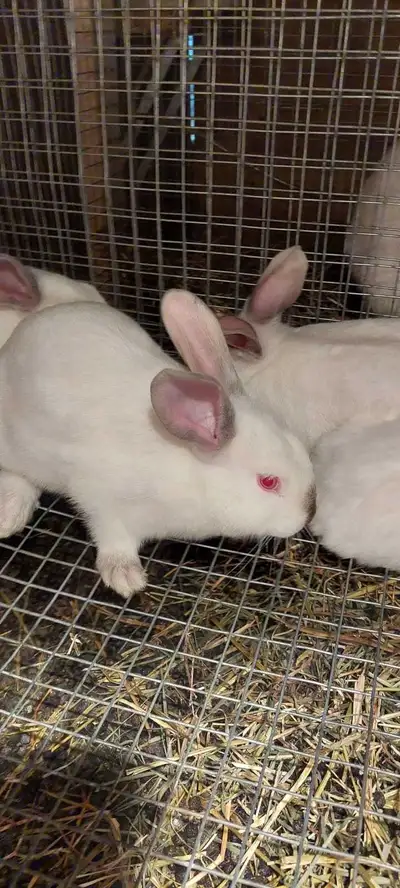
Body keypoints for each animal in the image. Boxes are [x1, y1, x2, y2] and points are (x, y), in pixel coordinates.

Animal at [0, 289, 316, 599]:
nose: (307, 514)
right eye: (268, 482)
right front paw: (125, 577)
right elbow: (112, 535)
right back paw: (10, 515)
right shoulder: (100, 500)